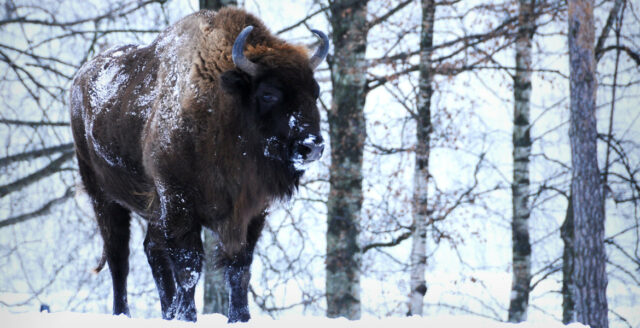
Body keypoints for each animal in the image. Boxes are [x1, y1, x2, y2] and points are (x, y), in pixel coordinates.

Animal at [71, 8, 324, 322]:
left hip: (152, 210)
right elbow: (189, 267)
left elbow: (240, 267)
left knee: (152, 251)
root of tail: (80, 78)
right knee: (119, 257)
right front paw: (188, 316)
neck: (224, 109)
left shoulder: (251, 212)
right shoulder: (178, 202)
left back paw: (167, 312)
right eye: (268, 94)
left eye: (315, 92)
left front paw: (239, 317)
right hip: (103, 196)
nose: (312, 146)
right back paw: (123, 314)